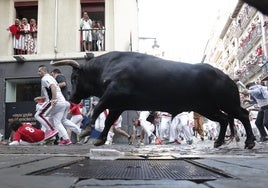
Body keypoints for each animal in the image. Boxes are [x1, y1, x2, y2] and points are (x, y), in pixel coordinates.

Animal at [51, 51, 255, 150]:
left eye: (74, 77)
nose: (72, 97)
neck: (107, 66)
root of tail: (227, 77)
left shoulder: (114, 93)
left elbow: (98, 108)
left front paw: (87, 130)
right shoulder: (118, 104)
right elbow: (109, 120)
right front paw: (100, 138)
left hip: (228, 103)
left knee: (243, 115)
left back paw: (250, 141)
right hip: (207, 108)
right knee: (224, 119)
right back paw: (219, 142)